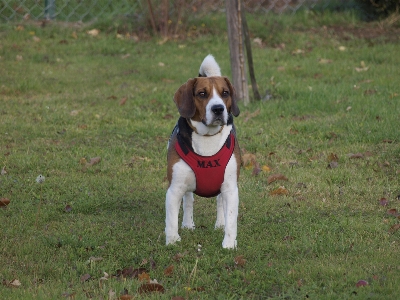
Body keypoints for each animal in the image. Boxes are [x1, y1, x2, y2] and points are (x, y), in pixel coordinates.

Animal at [165, 54, 241, 248]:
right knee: (188, 200)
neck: (207, 138)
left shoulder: (230, 188)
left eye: (225, 93)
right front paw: (172, 242)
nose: (218, 109)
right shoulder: (174, 188)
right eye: (202, 94)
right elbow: (171, 220)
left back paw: (220, 224)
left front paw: (229, 245)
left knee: (220, 202)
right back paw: (187, 224)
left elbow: (231, 219)